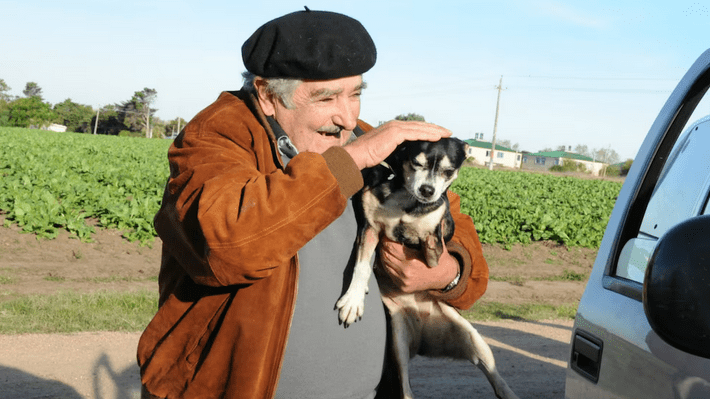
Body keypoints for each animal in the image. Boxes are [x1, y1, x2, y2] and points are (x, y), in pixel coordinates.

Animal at [336, 138, 520, 399]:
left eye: (448, 171)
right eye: (416, 163)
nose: (427, 190)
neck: (405, 200)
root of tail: (423, 337)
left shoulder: (433, 237)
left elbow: (436, 238)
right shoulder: (371, 228)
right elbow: (362, 267)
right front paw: (353, 299)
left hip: (476, 341)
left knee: (495, 376)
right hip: (399, 345)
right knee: (406, 390)